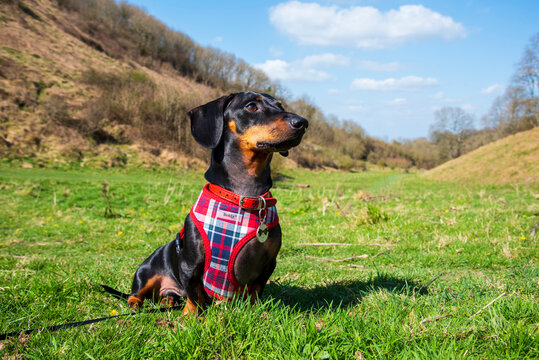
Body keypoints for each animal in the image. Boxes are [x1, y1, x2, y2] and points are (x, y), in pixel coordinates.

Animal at [104, 90, 308, 316]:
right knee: (136, 293)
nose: (302, 122)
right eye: (251, 106)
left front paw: (252, 313)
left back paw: (169, 301)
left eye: (280, 106)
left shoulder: (268, 265)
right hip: (146, 271)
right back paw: (136, 304)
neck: (243, 197)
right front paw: (191, 317)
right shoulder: (190, 264)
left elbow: (255, 292)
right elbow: (195, 296)